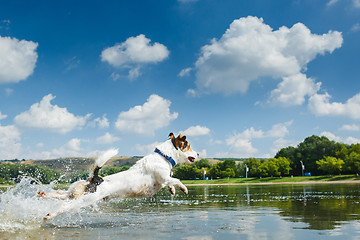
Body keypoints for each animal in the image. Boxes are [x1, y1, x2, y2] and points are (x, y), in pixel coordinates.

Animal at [41, 133, 200, 221]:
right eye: (188, 146)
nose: (198, 153)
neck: (164, 156)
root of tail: (96, 179)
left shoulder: (165, 180)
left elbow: (171, 182)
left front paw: (172, 190)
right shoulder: (163, 178)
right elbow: (177, 180)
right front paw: (184, 188)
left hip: (77, 192)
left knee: (61, 194)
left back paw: (44, 194)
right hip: (87, 198)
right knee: (65, 206)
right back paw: (50, 215)